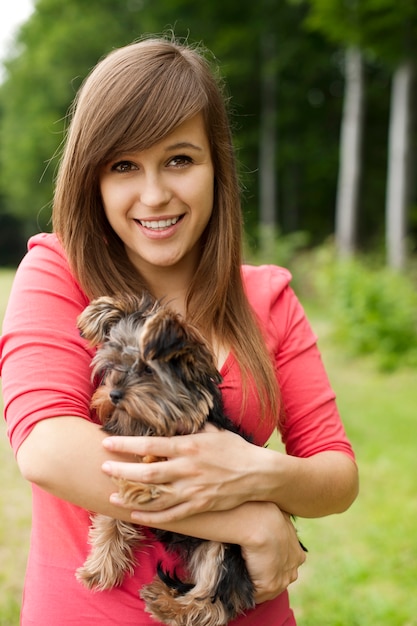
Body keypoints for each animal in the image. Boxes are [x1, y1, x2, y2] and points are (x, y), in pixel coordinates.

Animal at [76, 292, 255, 624]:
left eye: (148, 371)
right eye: (113, 366)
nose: (114, 394)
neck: (151, 425)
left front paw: (140, 484)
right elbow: (111, 517)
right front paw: (101, 565)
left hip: (225, 550)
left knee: (213, 600)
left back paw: (169, 603)